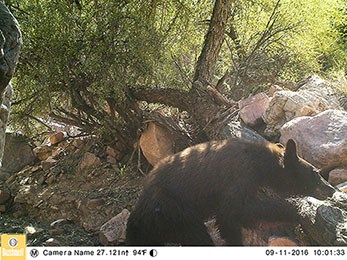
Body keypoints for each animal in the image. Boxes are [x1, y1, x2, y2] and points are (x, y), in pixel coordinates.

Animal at [125, 139, 338, 245]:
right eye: (315, 172)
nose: (331, 189)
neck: (262, 165)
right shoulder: (238, 176)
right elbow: (231, 213)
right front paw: (297, 210)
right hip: (173, 209)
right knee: (196, 235)